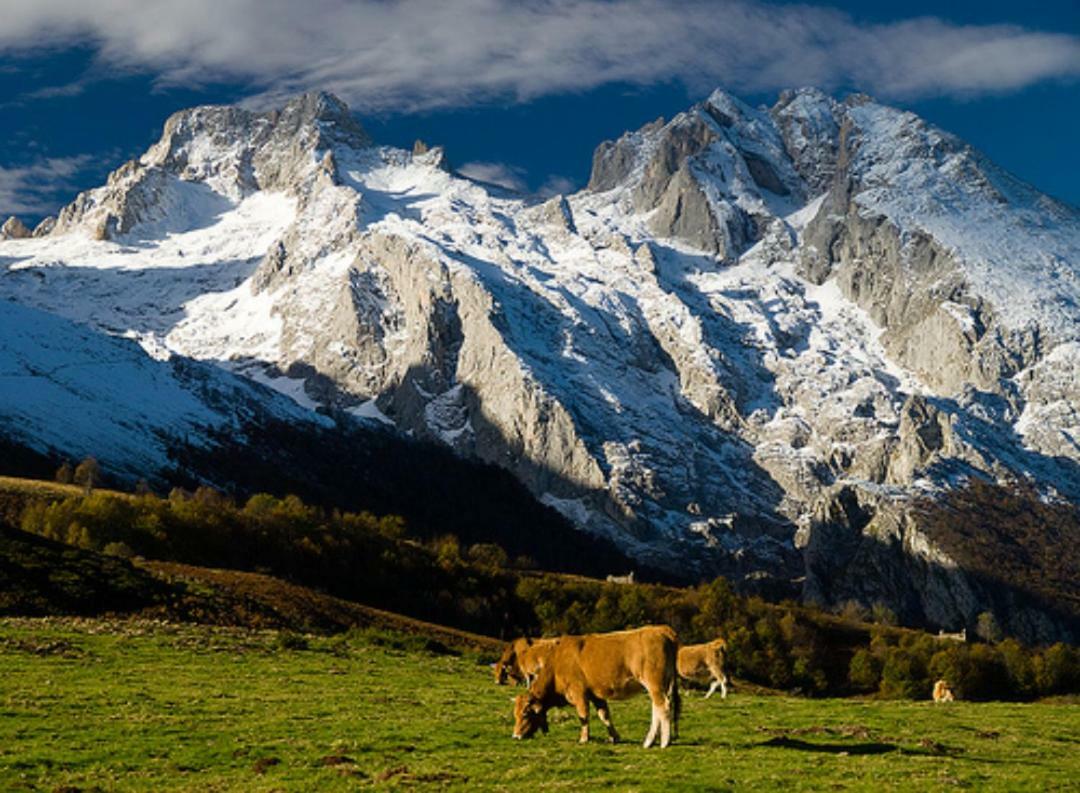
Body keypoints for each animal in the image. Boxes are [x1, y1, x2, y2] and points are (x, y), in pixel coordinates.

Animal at [511, 626, 678, 751]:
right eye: (515, 714)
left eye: (525, 714)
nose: (515, 736)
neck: (556, 665)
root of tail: (660, 630)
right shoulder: (596, 695)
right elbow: (604, 715)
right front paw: (614, 737)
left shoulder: (578, 693)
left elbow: (583, 716)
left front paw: (584, 738)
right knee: (658, 708)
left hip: (654, 684)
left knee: (663, 707)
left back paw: (660, 742)